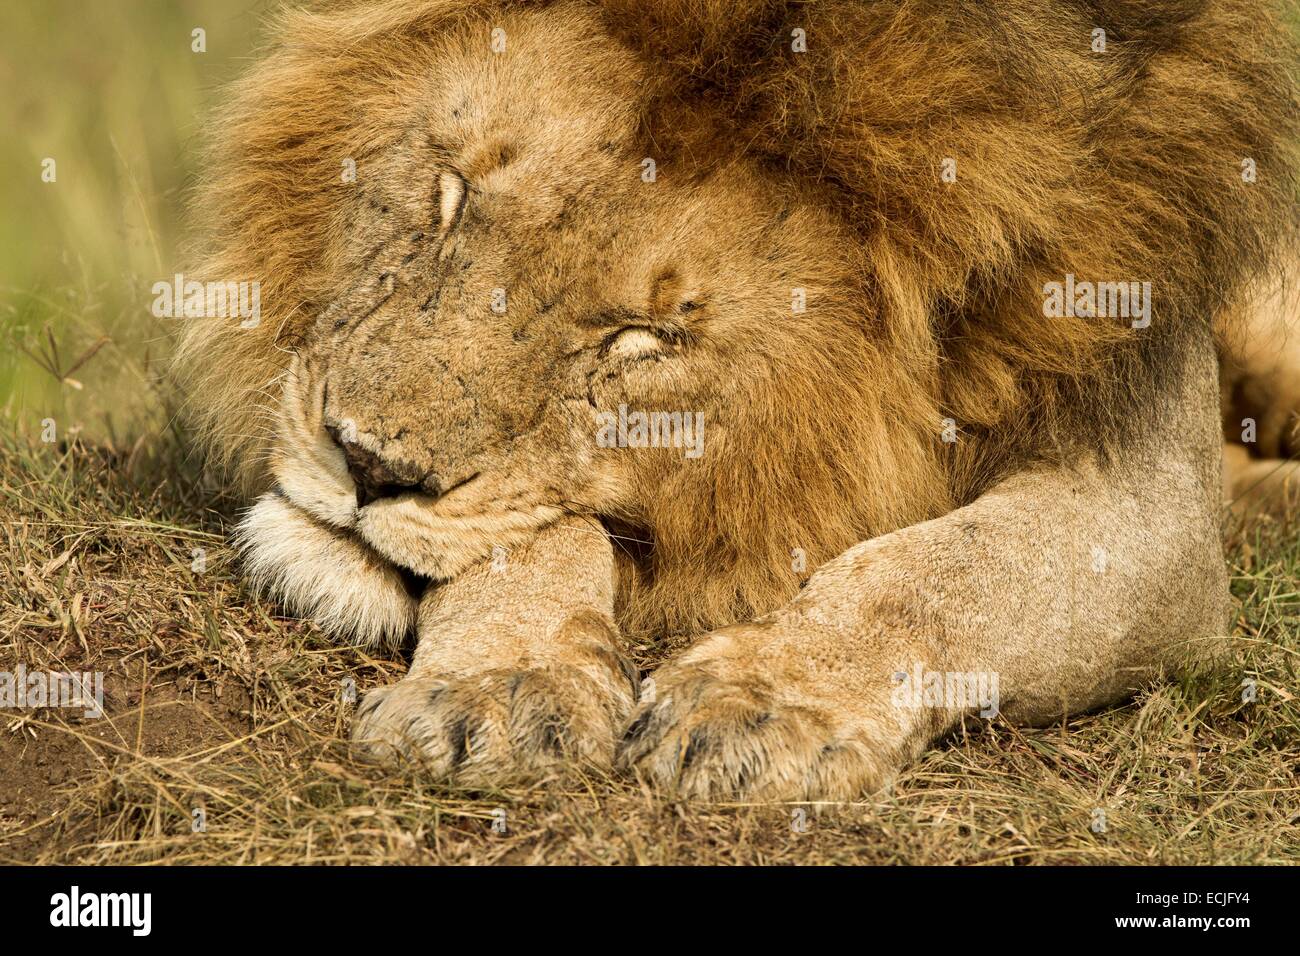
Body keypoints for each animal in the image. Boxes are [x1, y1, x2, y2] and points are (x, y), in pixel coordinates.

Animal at [177, 0, 1300, 800]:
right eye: (451, 194)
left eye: (647, 338)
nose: (365, 461)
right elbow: (544, 529)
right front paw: (506, 682)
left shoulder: (1150, 507)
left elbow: (943, 570)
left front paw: (762, 704)